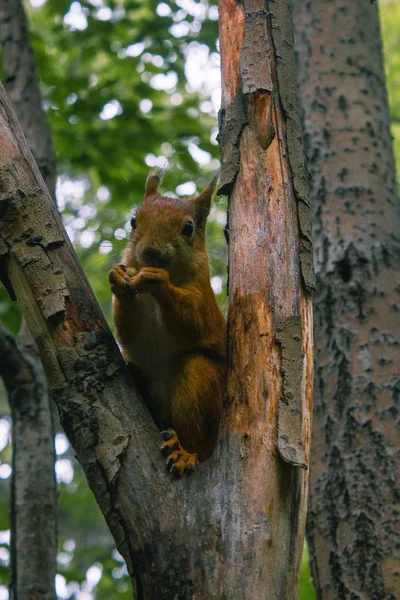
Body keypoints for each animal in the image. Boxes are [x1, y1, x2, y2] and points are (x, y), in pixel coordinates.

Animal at [108, 171, 227, 476]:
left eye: (188, 227)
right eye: (133, 220)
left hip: (200, 387)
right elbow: (129, 334)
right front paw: (118, 278)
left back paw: (184, 452)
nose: (151, 251)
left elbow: (193, 321)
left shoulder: (203, 296)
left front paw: (157, 279)